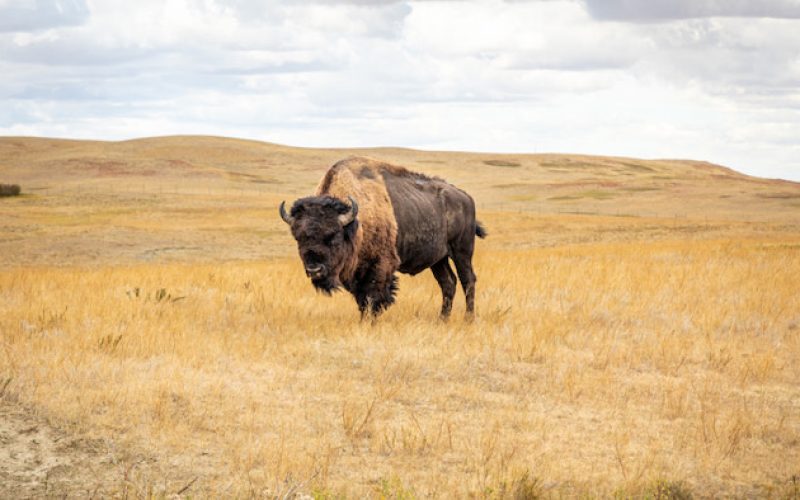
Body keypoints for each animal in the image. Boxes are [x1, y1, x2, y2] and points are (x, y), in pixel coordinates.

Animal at [278, 157, 484, 320]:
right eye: (298, 238)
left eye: (333, 235)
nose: (314, 270)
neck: (355, 222)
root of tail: (466, 197)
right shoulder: (356, 273)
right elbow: (362, 300)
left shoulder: (380, 265)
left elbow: (373, 297)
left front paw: (371, 322)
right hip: (438, 259)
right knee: (448, 283)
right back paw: (442, 319)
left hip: (461, 251)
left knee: (468, 280)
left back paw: (468, 319)